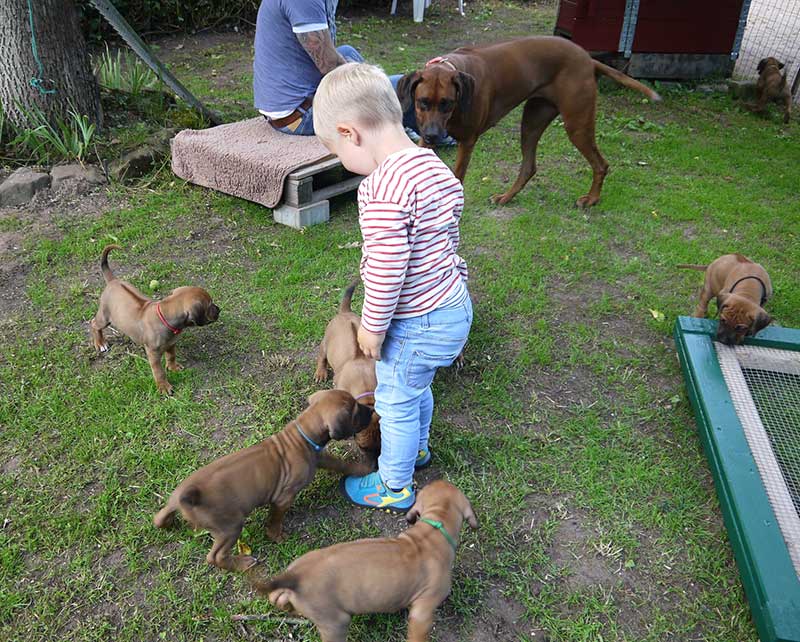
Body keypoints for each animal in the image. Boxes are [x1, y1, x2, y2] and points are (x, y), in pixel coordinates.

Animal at [90, 246, 219, 396]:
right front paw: (163, 386)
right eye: (210, 305)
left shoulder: (171, 343)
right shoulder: (153, 354)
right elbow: (159, 372)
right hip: (104, 317)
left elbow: (171, 356)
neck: (164, 315)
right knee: (94, 324)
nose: (219, 309)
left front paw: (173, 367)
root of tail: (113, 281)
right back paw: (100, 343)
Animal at [154, 390, 376, 568]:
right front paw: (277, 536)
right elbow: (275, 520)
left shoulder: (320, 457)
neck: (302, 435)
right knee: (215, 557)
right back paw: (242, 564)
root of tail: (186, 497)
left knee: (159, 518)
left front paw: (364, 468)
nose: (371, 410)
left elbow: (340, 463)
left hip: (177, 506)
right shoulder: (283, 499)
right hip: (230, 526)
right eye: (356, 412)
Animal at [314, 280, 380, 460]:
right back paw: (320, 372)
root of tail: (344, 312)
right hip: (325, 343)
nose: (374, 464)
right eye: (362, 447)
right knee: (321, 356)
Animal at [396, 35, 660, 208]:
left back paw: (592, 199)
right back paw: (506, 197)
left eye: (447, 103)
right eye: (422, 102)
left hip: (577, 124)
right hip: (533, 119)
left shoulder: (467, 141)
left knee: (600, 164)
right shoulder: (424, 136)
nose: (433, 135)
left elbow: (457, 175)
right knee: (529, 166)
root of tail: (587, 58)